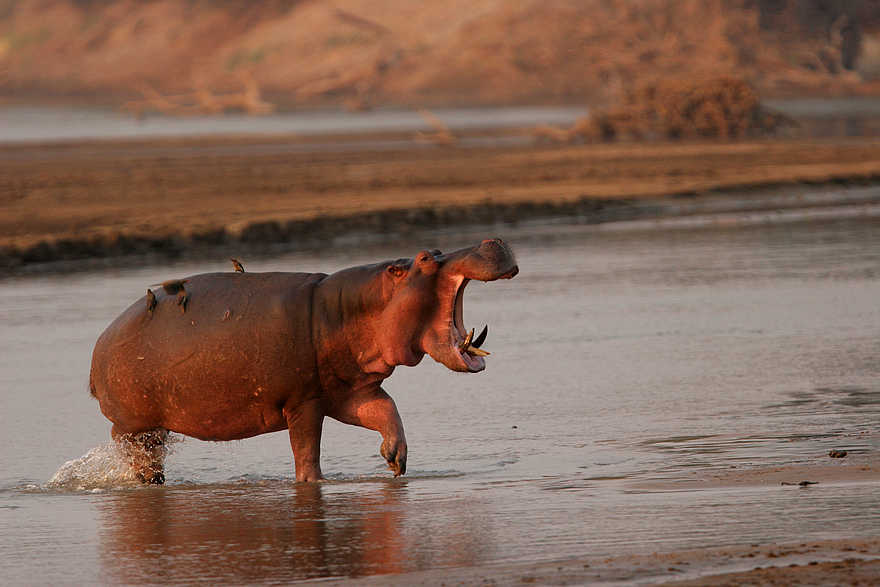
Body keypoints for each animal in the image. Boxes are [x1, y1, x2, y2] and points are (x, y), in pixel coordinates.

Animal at [89, 239, 518, 483]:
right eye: (426, 258)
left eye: (435, 248)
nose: (491, 239)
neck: (353, 307)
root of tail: (98, 347)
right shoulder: (304, 402)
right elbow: (307, 453)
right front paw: (313, 485)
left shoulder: (349, 391)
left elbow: (385, 409)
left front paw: (395, 460)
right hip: (134, 426)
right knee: (137, 457)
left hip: (150, 427)